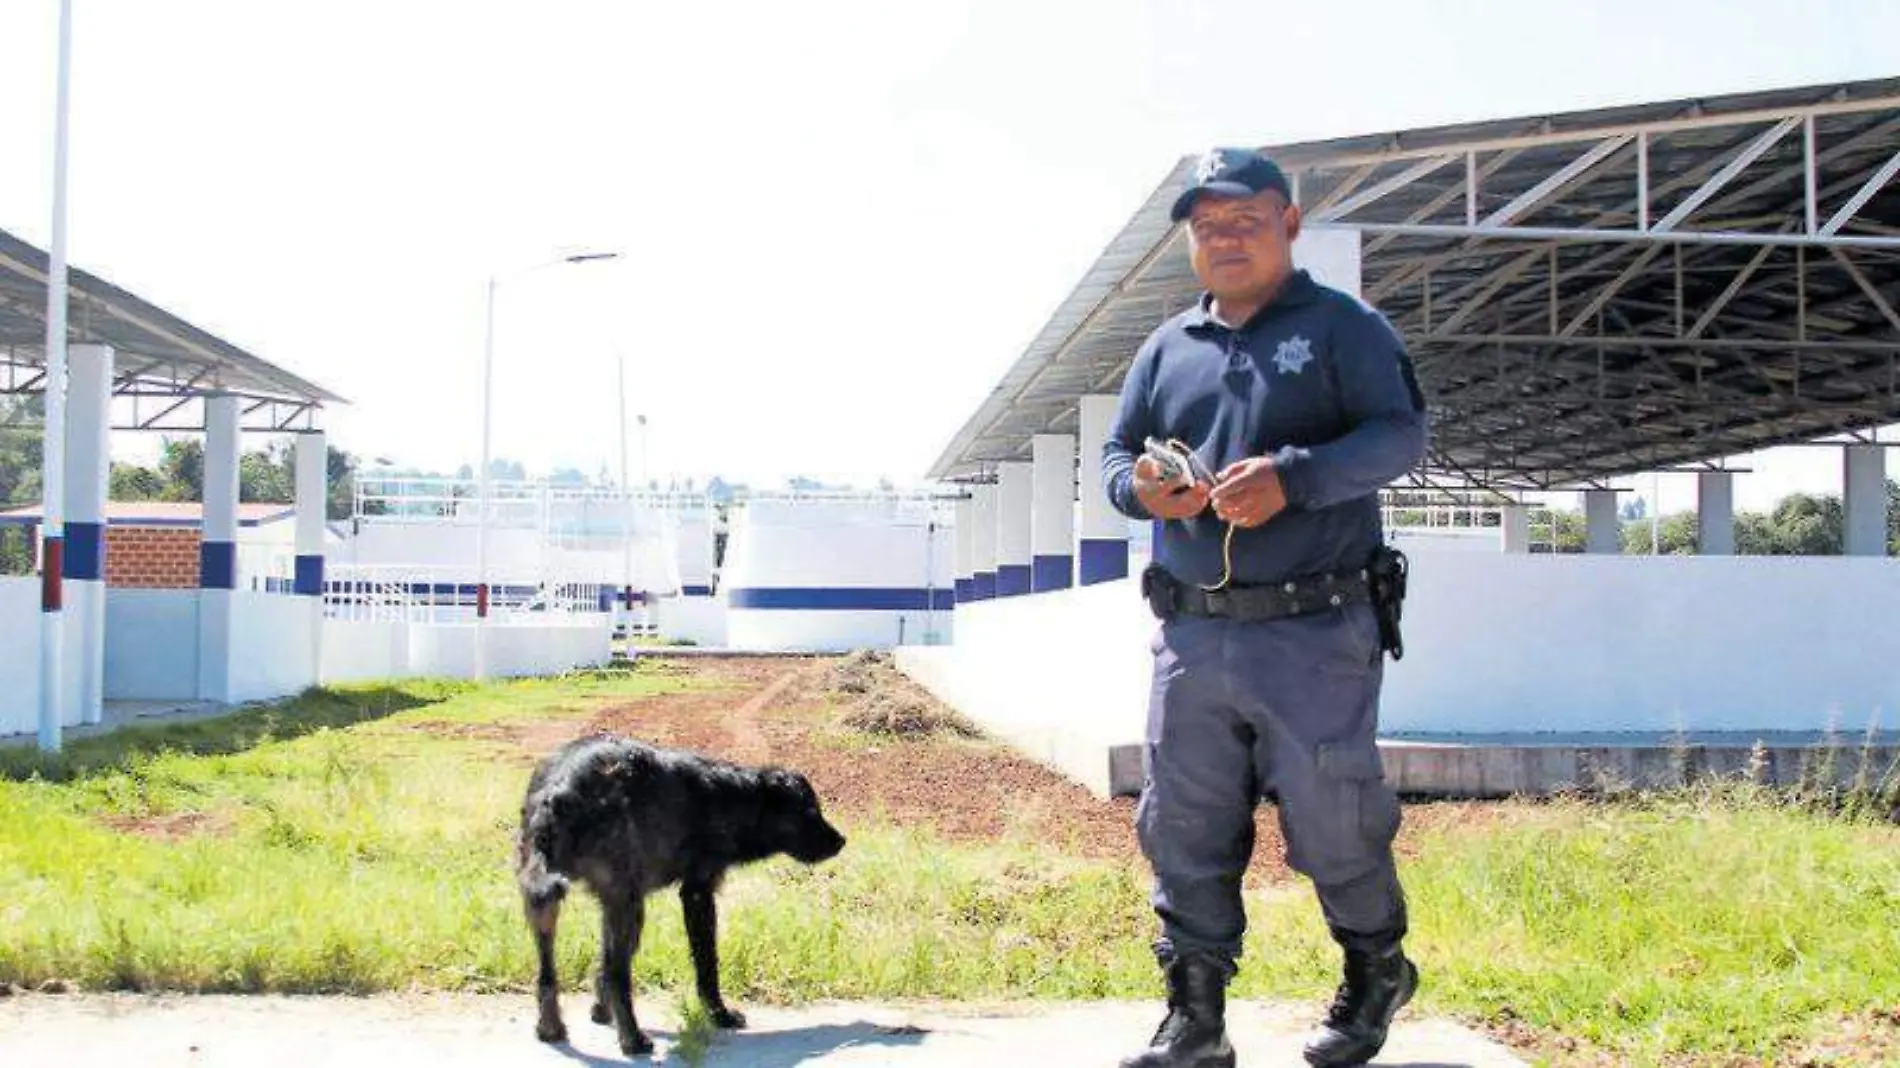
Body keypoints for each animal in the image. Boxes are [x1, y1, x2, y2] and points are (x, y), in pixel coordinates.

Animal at [516, 737, 851, 1048]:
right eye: (810, 812)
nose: (841, 841)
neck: (735, 798)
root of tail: (557, 792)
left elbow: (599, 965)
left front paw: (600, 1012)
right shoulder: (697, 892)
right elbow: (706, 963)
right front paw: (719, 1015)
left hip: (548, 905)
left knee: (548, 974)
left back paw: (550, 1029)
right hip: (628, 906)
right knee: (617, 974)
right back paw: (632, 1040)